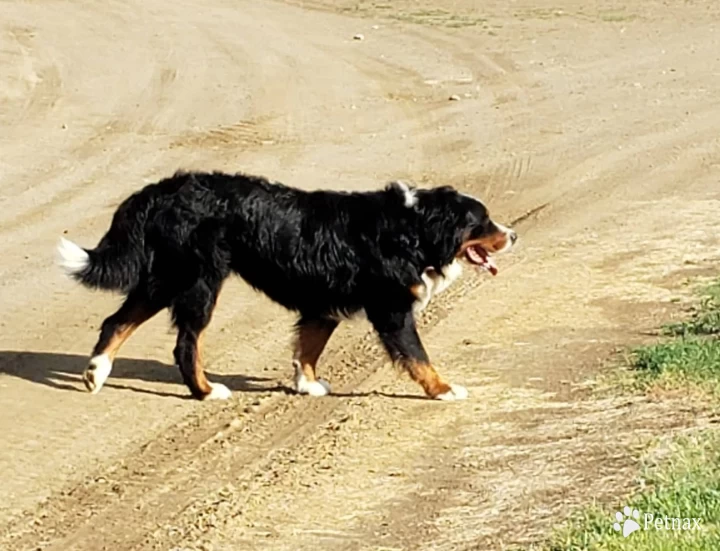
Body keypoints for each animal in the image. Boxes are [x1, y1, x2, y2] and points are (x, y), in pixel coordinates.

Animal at [57, 168, 516, 402]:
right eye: (483, 221)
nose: (512, 235)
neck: (411, 230)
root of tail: (161, 189)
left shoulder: (323, 306)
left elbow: (307, 349)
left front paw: (308, 384)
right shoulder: (392, 311)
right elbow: (419, 358)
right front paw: (443, 389)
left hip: (166, 276)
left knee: (117, 320)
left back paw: (96, 372)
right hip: (197, 283)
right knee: (185, 345)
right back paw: (206, 391)